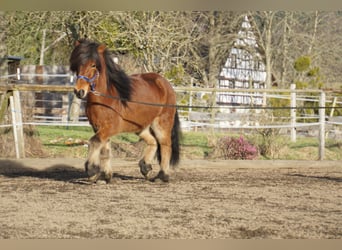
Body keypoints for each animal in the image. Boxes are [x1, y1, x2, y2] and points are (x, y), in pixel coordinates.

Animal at [70, 39, 182, 184]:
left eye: (93, 65)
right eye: (77, 64)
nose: (79, 91)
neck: (106, 98)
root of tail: (166, 84)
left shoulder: (110, 128)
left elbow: (94, 142)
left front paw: (92, 171)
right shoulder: (99, 128)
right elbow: (104, 150)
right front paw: (105, 176)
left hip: (161, 123)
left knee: (165, 145)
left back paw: (162, 176)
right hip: (141, 126)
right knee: (153, 142)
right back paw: (145, 167)